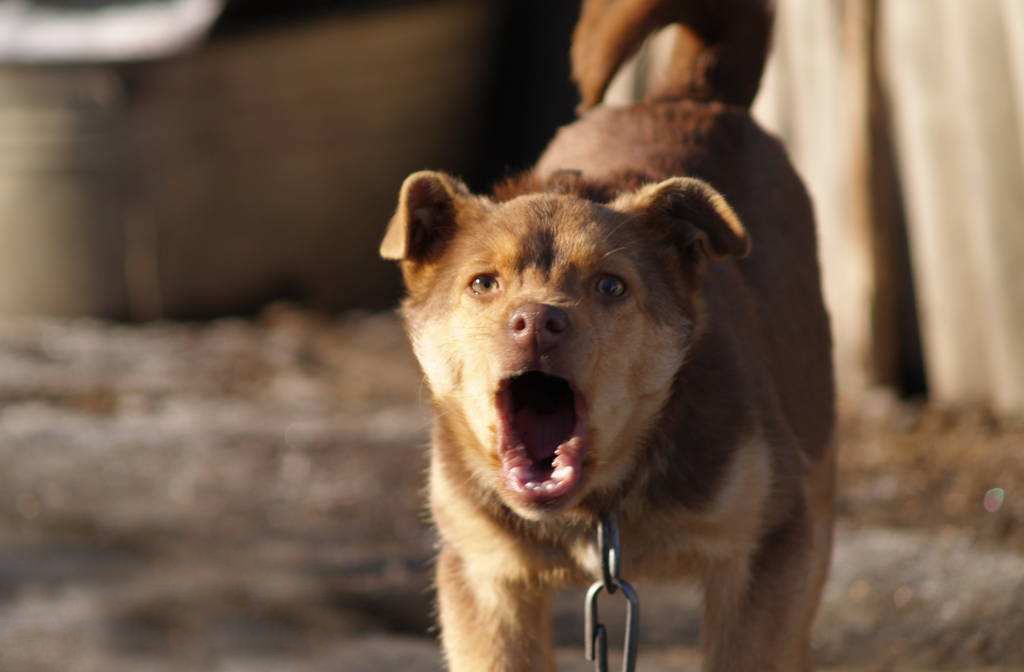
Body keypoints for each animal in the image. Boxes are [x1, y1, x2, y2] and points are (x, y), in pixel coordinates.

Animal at [380, 2, 835, 667]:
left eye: (611, 286)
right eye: (484, 283)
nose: (537, 320)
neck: (599, 508)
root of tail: (689, 95)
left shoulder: (774, 544)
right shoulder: (484, 574)